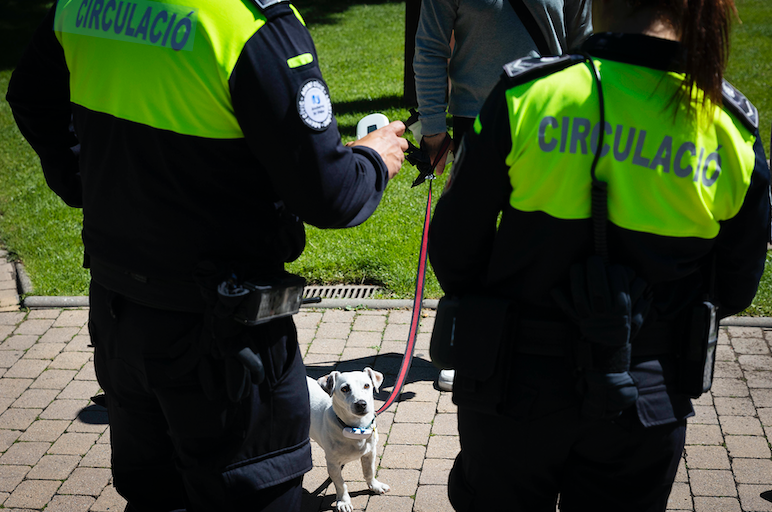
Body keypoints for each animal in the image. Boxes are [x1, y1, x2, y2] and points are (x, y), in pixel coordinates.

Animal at [308, 368, 392, 512]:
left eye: (367, 385)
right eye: (345, 388)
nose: (361, 404)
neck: (355, 429)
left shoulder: (370, 453)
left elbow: (369, 472)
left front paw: (375, 486)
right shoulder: (332, 464)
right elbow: (340, 484)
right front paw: (343, 501)